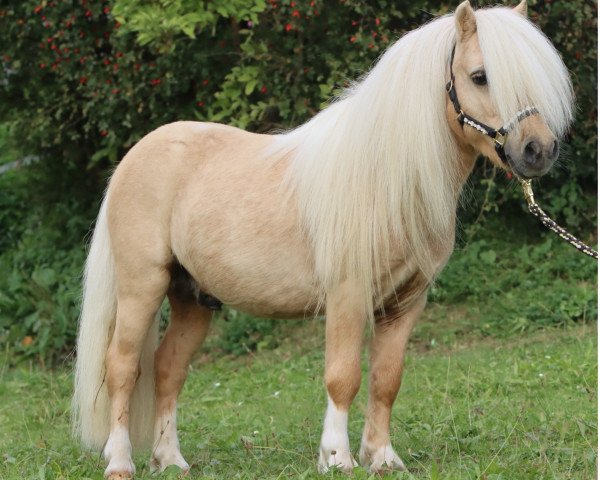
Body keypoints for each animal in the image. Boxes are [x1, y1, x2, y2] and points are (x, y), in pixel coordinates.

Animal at [72, 1, 576, 478]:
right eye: (480, 76)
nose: (538, 150)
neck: (387, 176)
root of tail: (137, 155)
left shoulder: (406, 303)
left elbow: (386, 379)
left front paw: (383, 458)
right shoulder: (347, 296)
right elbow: (343, 376)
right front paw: (336, 458)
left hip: (193, 299)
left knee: (167, 369)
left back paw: (170, 460)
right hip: (142, 288)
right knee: (122, 368)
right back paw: (120, 462)